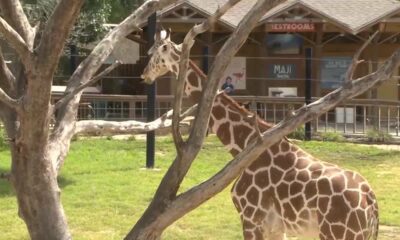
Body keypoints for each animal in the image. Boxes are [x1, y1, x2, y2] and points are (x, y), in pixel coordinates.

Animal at [142, 30, 380, 240]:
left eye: (153, 53)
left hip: (338, 233)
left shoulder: (251, 217)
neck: (242, 144)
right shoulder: (275, 226)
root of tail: (371, 202)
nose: (144, 74)